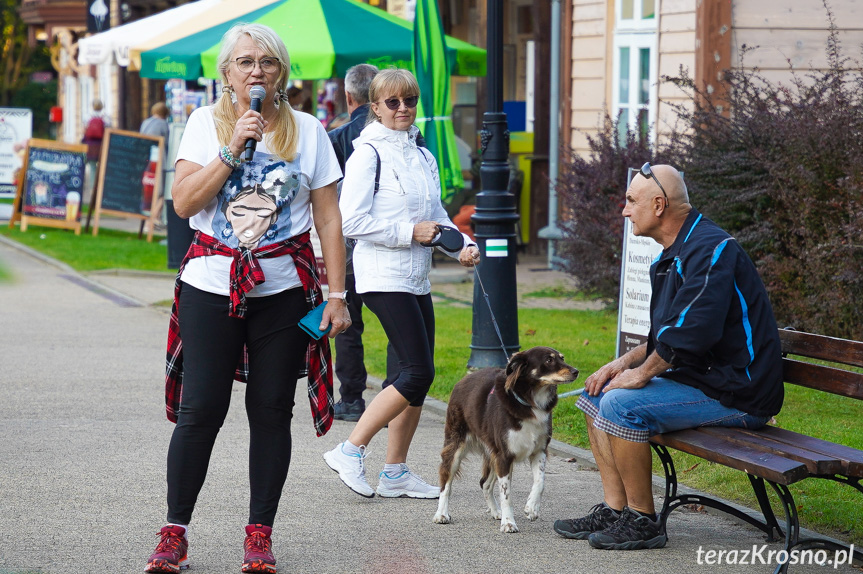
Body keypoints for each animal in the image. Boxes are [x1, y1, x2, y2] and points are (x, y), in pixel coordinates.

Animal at [432, 346, 580, 536]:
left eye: (562, 358)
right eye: (549, 360)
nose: (576, 371)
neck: (530, 402)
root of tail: (461, 381)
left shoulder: (538, 451)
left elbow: (540, 481)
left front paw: (532, 508)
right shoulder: (504, 455)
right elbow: (507, 495)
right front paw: (509, 522)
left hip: (492, 453)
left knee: (484, 483)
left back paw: (496, 512)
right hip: (456, 446)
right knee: (446, 482)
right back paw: (441, 514)